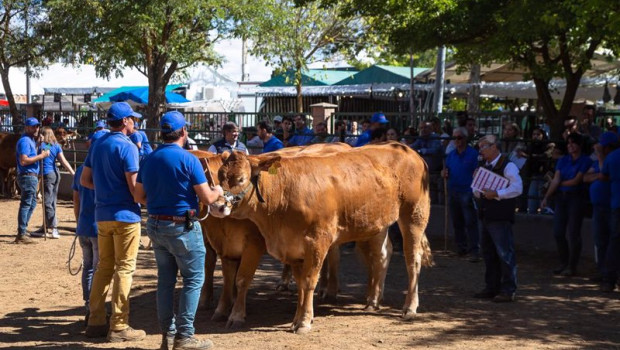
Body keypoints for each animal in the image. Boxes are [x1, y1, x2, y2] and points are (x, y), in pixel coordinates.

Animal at [211, 141, 434, 332]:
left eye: (241, 179)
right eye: (220, 177)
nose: (217, 206)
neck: (285, 191)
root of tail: (405, 148)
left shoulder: (317, 241)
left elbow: (309, 281)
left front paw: (303, 322)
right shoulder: (292, 246)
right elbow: (301, 283)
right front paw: (297, 319)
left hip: (414, 214)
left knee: (413, 259)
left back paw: (410, 308)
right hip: (378, 223)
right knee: (382, 255)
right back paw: (372, 301)